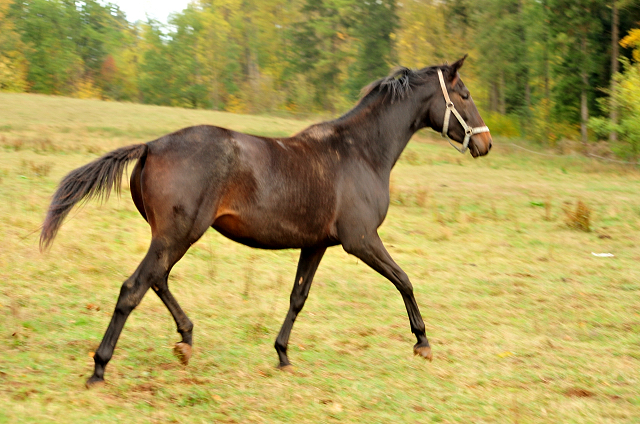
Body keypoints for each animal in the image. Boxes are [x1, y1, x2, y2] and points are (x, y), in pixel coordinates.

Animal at [40, 56, 490, 388]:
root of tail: (152, 146)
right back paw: (100, 368)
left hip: (173, 236)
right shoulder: (361, 239)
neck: (360, 152)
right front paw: (423, 342)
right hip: (178, 235)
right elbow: (404, 280)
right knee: (134, 287)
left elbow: (298, 297)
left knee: (157, 280)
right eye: (465, 94)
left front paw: (283, 355)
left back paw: (186, 340)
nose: (485, 143)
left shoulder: (316, 243)